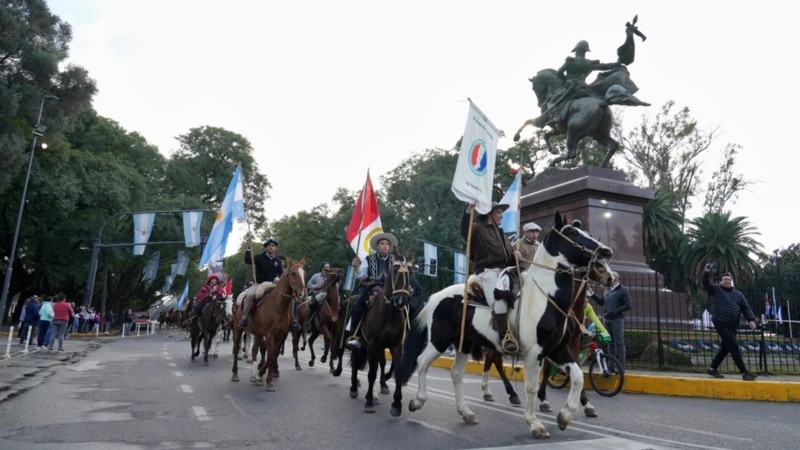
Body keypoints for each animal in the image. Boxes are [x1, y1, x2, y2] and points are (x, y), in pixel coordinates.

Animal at [231, 256, 310, 390]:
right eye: (293, 273)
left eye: (304, 274)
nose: (302, 294)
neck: (278, 306)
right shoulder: (269, 334)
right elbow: (270, 354)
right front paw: (266, 379)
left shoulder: (281, 334)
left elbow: (273, 355)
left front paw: (263, 377)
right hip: (238, 330)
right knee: (236, 350)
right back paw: (235, 374)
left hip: (257, 334)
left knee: (254, 350)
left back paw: (253, 375)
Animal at [348, 248, 412, 414]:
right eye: (395, 270)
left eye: (411, 272)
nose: (401, 300)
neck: (389, 312)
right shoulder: (373, 345)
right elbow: (371, 373)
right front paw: (369, 401)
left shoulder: (396, 345)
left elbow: (397, 370)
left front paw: (396, 404)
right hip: (359, 343)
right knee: (356, 362)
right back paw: (354, 388)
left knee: (380, 363)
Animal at [394, 213, 612, 438]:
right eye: (572, 232)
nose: (606, 252)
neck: (545, 296)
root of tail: (435, 297)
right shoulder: (534, 352)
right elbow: (531, 387)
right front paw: (535, 423)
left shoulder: (558, 349)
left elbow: (577, 377)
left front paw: (565, 417)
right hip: (439, 339)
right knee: (422, 362)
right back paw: (418, 401)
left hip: (464, 343)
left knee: (456, 373)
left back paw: (466, 412)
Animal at [512, 67, 648, 170]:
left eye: (534, 87)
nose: (540, 103)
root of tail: (602, 103)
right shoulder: (558, 129)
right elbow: (546, 135)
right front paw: (553, 150)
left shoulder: (541, 122)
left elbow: (527, 122)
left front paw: (516, 136)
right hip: (599, 134)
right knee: (613, 145)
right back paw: (601, 167)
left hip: (573, 131)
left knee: (572, 154)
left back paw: (553, 163)